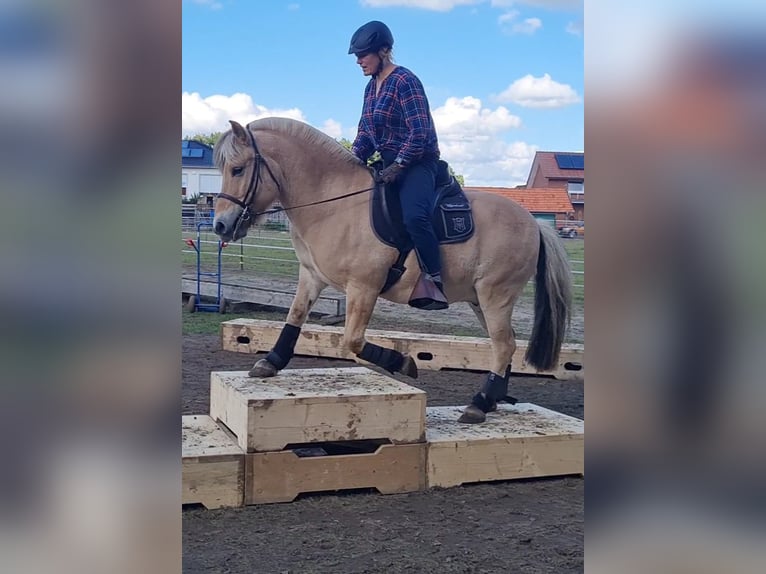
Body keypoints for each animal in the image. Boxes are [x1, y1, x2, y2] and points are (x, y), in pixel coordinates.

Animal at [212, 117, 572, 424]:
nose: (220, 225)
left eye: (238, 169)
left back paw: (480, 403)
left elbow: (353, 341)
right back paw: (492, 399)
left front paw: (403, 362)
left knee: (505, 345)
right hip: (480, 301)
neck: (334, 202)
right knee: (504, 345)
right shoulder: (311, 276)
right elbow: (295, 317)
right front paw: (271, 361)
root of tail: (535, 225)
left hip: (495, 296)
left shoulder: (363, 287)